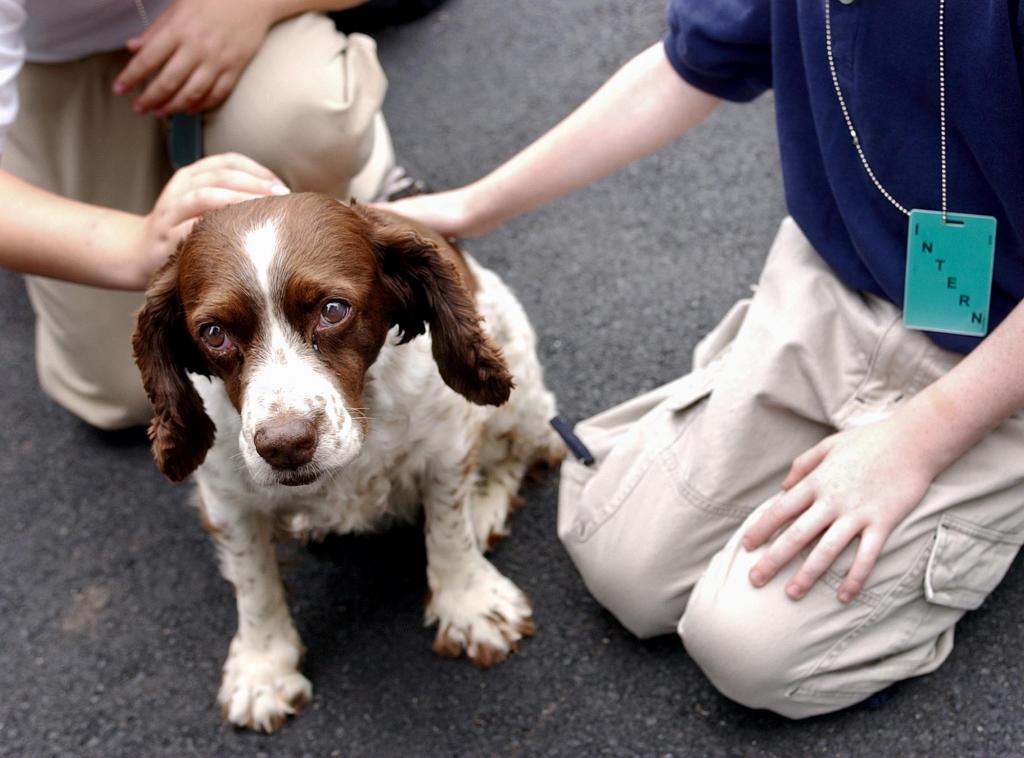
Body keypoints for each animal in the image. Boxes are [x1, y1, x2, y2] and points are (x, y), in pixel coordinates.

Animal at [132, 193, 565, 733]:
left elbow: (448, 530)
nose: (285, 445)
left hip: (521, 397)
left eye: (333, 310)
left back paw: (483, 507)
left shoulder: (446, 443)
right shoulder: (227, 497)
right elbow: (254, 581)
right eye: (213, 333)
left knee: (527, 450)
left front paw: (471, 604)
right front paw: (263, 669)